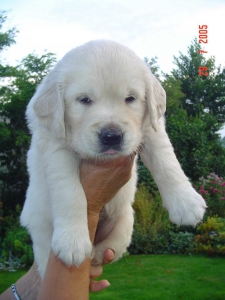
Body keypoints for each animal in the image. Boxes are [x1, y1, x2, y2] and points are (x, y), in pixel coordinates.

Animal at [20, 40, 207, 278]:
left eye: (130, 98)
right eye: (84, 100)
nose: (112, 136)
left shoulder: (150, 127)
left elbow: (166, 161)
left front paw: (186, 203)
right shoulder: (54, 145)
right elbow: (69, 191)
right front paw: (72, 242)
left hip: (126, 221)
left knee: (111, 248)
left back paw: (97, 254)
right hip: (39, 225)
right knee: (44, 255)